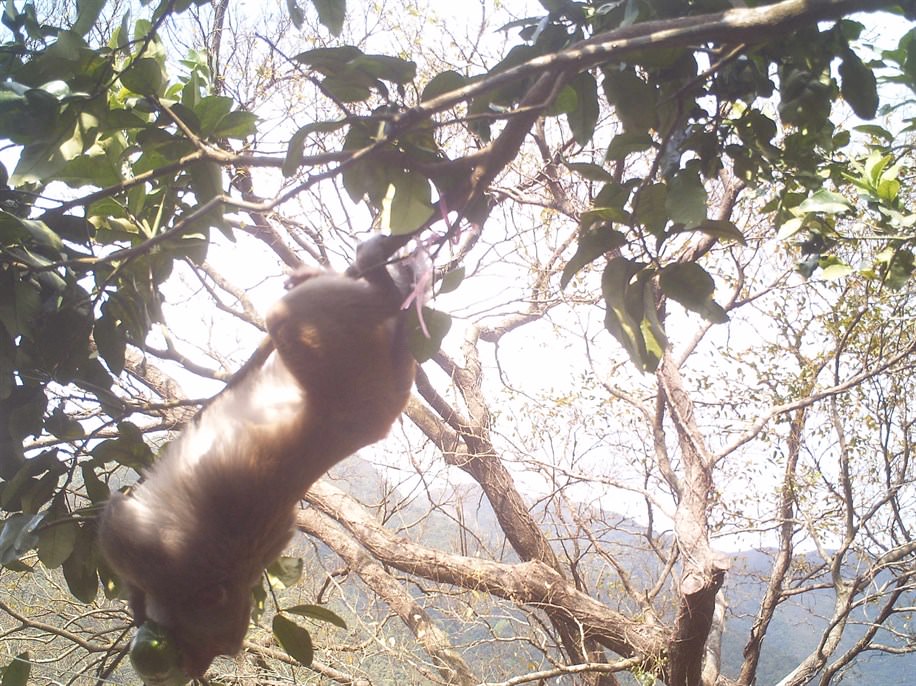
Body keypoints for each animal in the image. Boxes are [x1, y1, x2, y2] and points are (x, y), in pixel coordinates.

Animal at [95, 241, 416, 676]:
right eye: (202, 645)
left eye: (214, 651)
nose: (193, 670)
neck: (223, 578)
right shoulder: (166, 564)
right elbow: (116, 522)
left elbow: (116, 516)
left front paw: (139, 609)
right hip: (346, 358)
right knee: (292, 319)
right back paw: (384, 286)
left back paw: (382, 284)